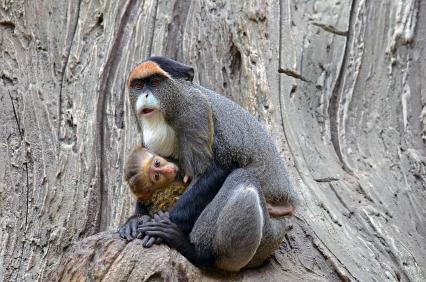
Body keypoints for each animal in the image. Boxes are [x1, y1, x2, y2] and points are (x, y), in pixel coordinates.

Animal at [125, 55, 296, 270]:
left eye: (155, 82)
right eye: (139, 85)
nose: (145, 95)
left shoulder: (195, 111)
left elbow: (216, 169)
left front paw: (164, 223)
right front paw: (135, 219)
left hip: (268, 238)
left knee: (243, 180)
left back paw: (196, 252)